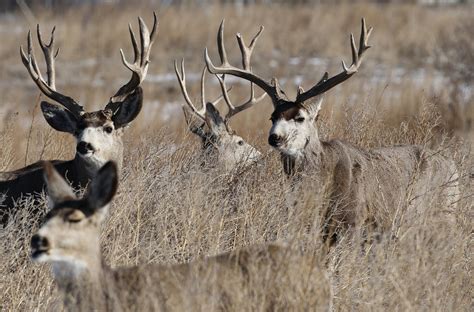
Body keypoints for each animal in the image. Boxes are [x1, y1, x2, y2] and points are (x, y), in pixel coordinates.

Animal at [206, 19, 460, 246]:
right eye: (272, 117)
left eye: (300, 117)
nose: (274, 137)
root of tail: (453, 166)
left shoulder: (354, 219)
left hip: (444, 213)